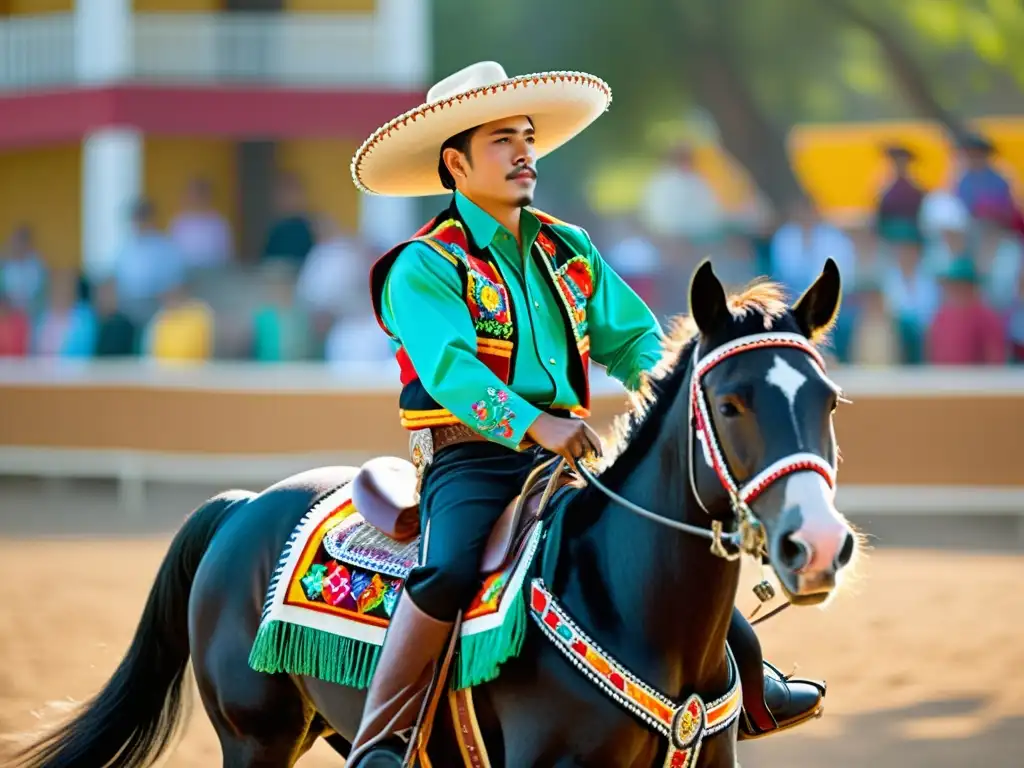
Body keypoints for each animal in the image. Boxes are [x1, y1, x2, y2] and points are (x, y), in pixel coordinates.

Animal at [16, 262, 860, 765]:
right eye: (732, 402)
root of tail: (243, 508)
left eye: (828, 399)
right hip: (255, 736)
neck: (631, 609)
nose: (816, 544)